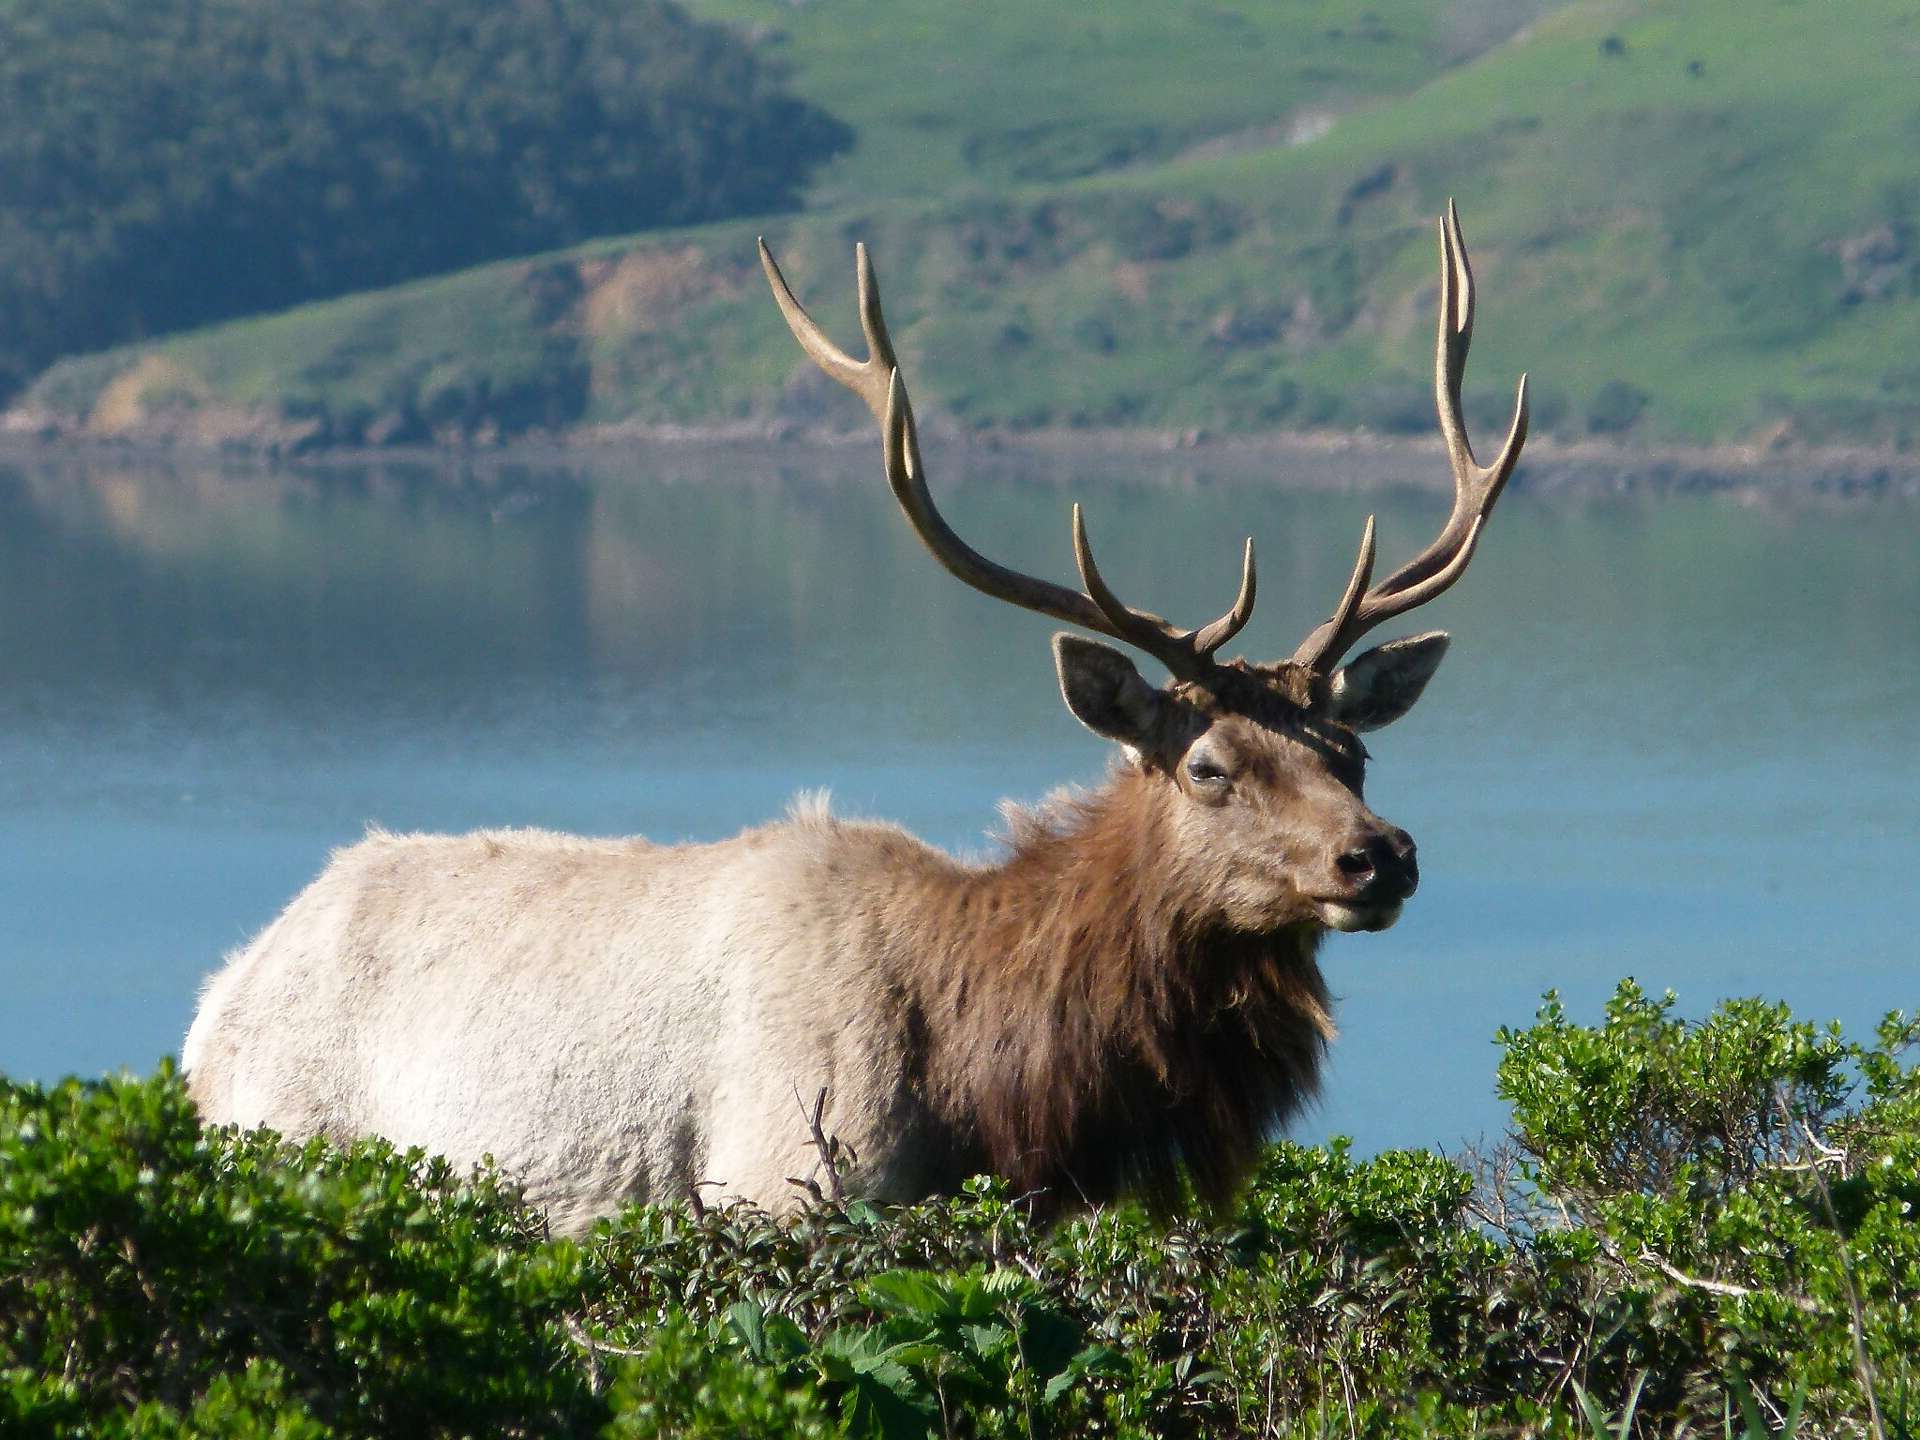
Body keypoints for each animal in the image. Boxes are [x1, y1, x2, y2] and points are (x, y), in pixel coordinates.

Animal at [182, 203, 1527, 1235]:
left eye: (1354, 750)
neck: (993, 1096)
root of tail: (213, 1005)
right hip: (286, 1143)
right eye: (1207, 764)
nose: (1378, 856)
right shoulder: (776, 1186)